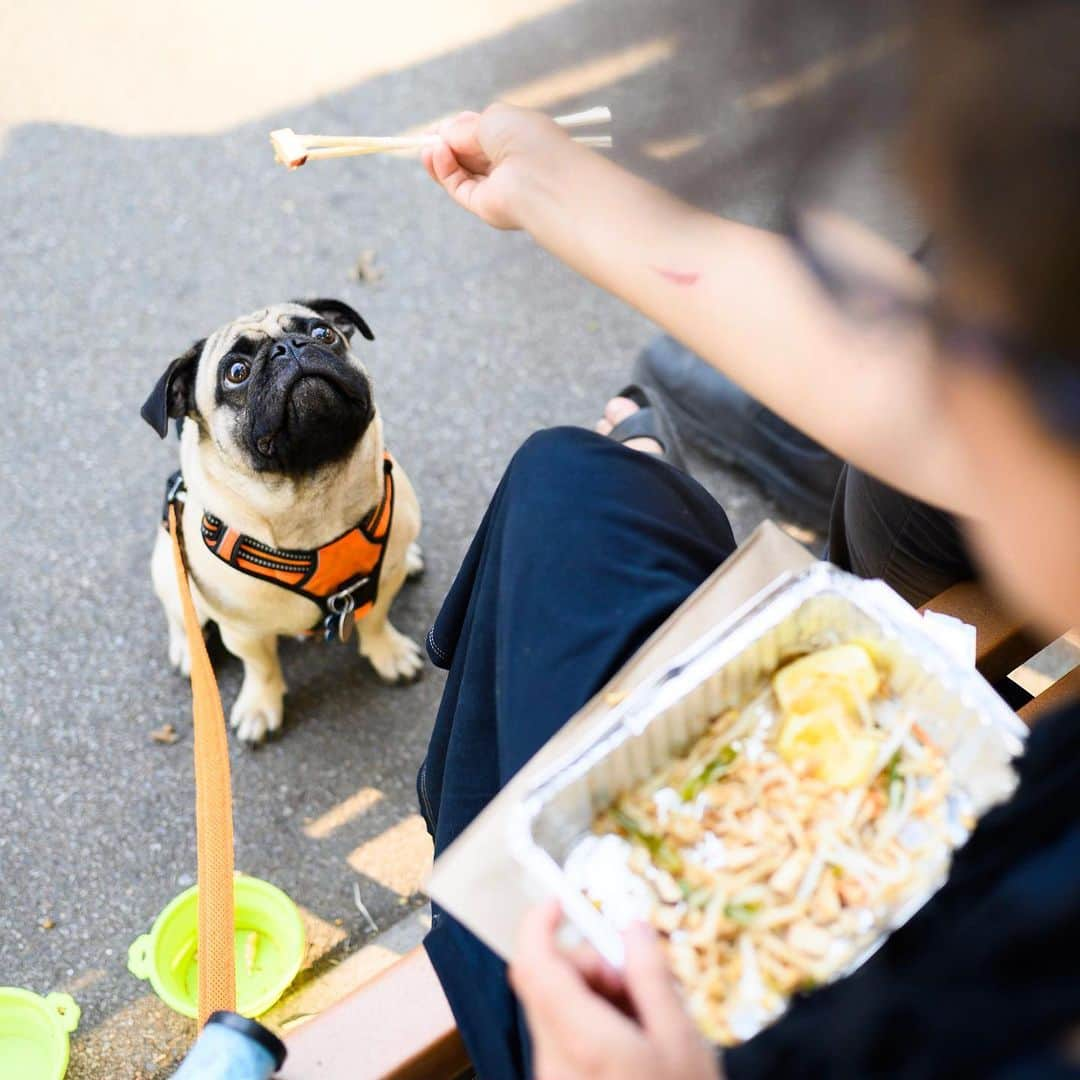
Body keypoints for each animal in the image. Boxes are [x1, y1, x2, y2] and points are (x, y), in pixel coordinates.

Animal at [142, 302, 425, 743]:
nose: (288, 347)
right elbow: (262, 667)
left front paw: (389, 653)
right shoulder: (244, 630)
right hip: (168, 568)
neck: (311, 493)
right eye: (236, 371)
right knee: (180, 613)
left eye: (324, 333)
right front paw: (260, 706)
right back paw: (188, 650)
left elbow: (376, 621)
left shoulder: (379, 586)